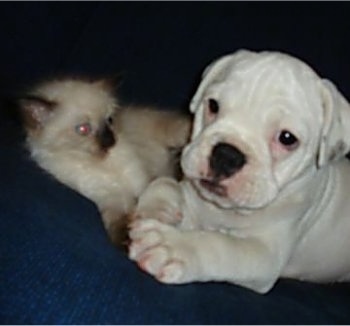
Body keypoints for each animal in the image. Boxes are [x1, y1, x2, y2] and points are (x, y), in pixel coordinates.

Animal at [17, 77, 190, 247]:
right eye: (83, 129)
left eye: (109, 120)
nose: (110, 141)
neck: (101, 164)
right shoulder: (110, 198)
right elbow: (117, 220)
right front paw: (126, 240)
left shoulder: (141, 180)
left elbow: (150, 190)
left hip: (174, 135)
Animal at [128, 49, 350, 294]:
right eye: (213, 105)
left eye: (287, 138)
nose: (226, 155)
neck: (226, 211)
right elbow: (164, 182)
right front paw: (157, 208)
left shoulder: (264, 254)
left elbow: (220, 245)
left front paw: (173, 246)